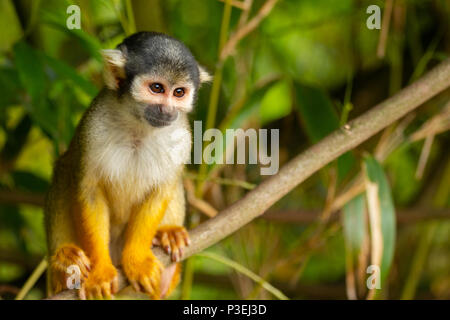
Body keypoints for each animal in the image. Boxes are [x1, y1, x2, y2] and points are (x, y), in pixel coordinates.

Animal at [44, 31, 211, 298]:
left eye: (179, 92)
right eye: (157, 88)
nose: (167, 110)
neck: (139, 125)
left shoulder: (183, 137)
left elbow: (161, 190)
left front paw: (138, 260)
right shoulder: (93, 127)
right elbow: (89, 191)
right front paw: (100, 271)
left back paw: (168, 240)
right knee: (65, 168)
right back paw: (65, 263)